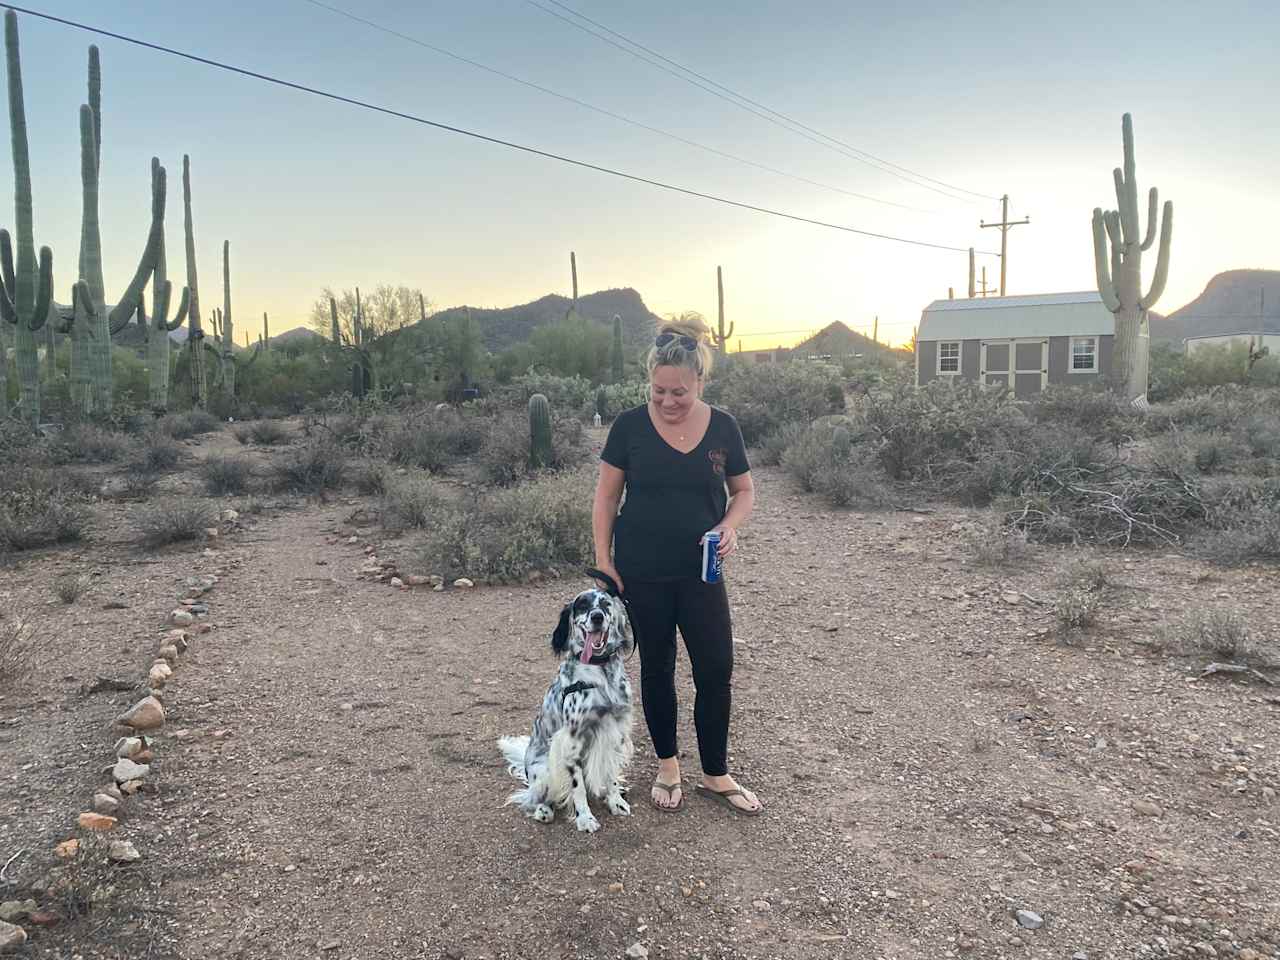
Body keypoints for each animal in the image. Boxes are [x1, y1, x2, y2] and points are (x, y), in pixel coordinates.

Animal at [501, 591, 637, 829]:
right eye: (582, 605)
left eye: (605, 604)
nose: (597, 617)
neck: (600, 672)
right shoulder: (572, 741)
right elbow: (578, 787)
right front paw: (585, 818)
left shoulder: (615, 731)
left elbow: (611, 773)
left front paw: (615, 801)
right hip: (544, 769)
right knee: (533, 796)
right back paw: (543, 810)